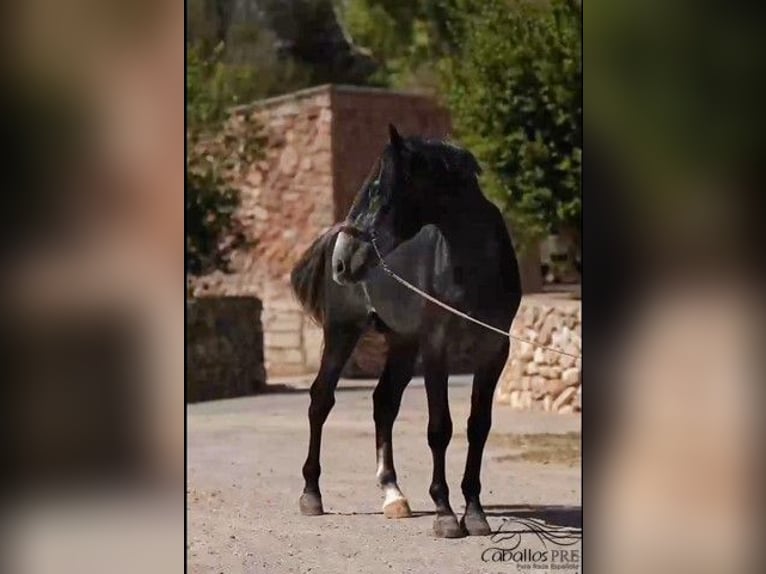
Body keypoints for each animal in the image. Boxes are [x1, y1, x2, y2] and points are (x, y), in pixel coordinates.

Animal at [290, 125, 520, 540]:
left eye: (377, 189)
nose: (342, 262)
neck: (473, 269)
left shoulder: (494, 352)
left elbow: (478, 427)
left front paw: (475, 513)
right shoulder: (436, 349)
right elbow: (439, 428)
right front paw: (446, 514)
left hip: (402, 343)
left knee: (383, 403)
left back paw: (393, 494)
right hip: (344, 331)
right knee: (320, 400)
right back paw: (311, 494)